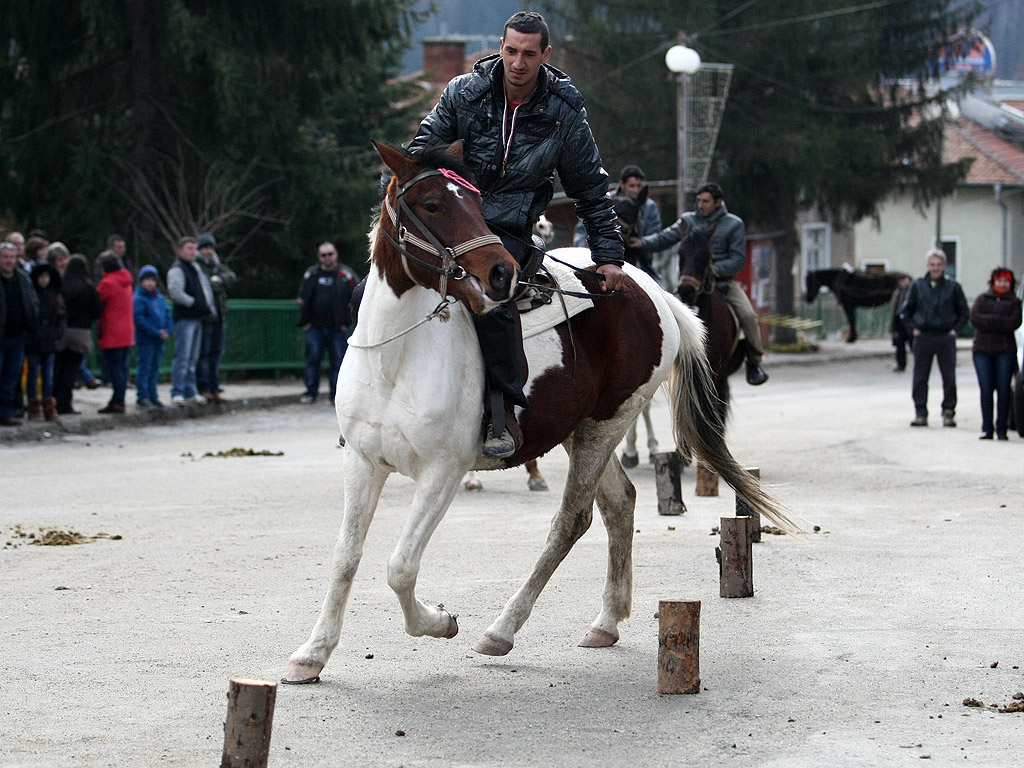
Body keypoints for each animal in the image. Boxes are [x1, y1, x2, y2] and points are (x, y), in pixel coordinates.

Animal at [284, 141, 794, 684]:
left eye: (476, 200)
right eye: (432, 204)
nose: (500, 273)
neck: (398, 354)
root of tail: (650, 290)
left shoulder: (442, 472)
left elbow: (400, 566)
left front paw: (439, 621)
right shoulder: (362, 462)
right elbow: (345, 556)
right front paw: (312, 653)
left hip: (604, 426)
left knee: (573, 520)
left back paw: (502, 629)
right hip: (581, 428)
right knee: (620, 503)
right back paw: (606, 621)